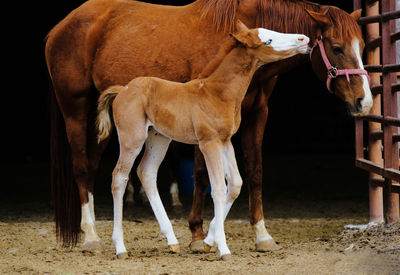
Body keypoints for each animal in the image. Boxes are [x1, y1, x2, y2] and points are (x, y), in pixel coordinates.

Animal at [97, 21, 310, 260]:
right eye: (268, 40)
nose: (304, 39)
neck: (217, 93)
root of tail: (122, 89)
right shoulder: (209, 143)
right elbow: (217, 189)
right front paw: (223, 248)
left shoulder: (226, 142)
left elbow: (235, 184)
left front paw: (208, 241)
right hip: (132, 139)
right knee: (119, 177)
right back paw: (120, 247)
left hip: (159, 138)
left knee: (147, 172)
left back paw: (172, 240)